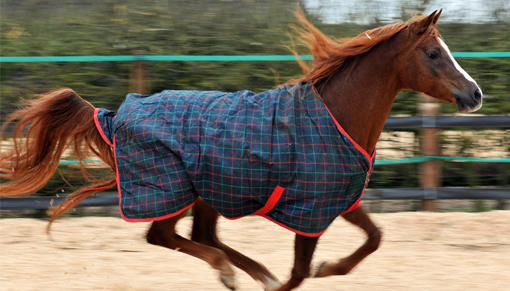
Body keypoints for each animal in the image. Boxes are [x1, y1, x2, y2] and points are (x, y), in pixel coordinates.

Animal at [0, 9, 482, 291]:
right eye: (434, 53)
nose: (474, 94)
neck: (335, 115)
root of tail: (119, 114)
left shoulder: (338, 198)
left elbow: (374, 238)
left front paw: (329, 268)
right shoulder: (310, 208)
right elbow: (298, 274)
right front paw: (301, 275)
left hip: (211, 191)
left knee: (200, 236)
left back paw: (247, 272)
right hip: (176, 190)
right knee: (165, 236)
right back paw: (232, 273)